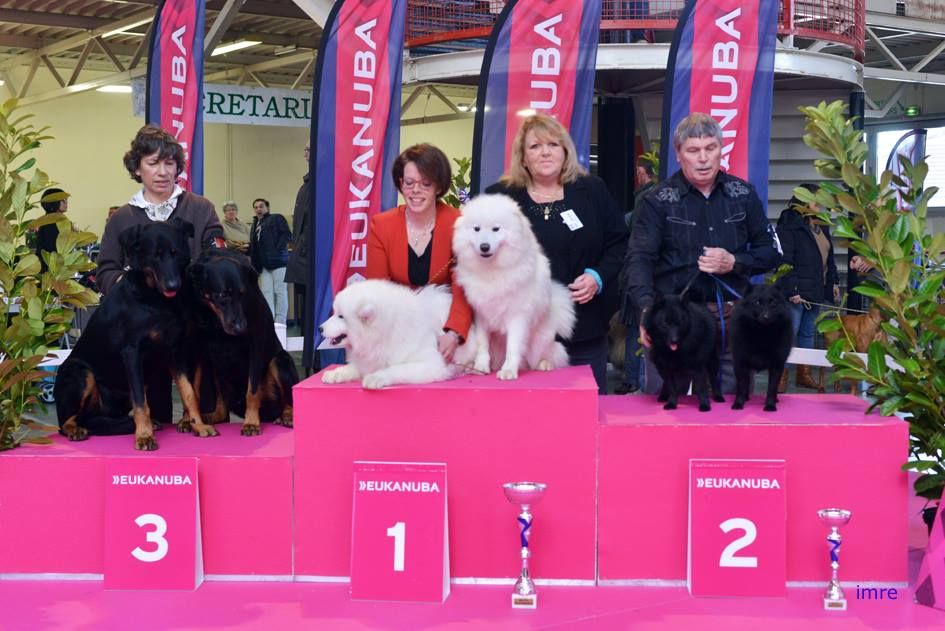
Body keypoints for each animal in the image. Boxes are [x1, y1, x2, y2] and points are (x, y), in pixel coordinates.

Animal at [55, 220, 218, 452]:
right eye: (155, 255)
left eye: (176, 253)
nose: (173, 285)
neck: (157, 300)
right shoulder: (131, 352)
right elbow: (141, 403)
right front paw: (144, 436)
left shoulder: (176, 351)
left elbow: (189, 392)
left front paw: (199, 425)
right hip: (80, 371)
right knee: (67, 421)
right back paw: (76, 430)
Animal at [185, 249, 298, 436]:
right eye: (223, 294)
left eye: (243, 293)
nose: (240, 328)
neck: (214, 320)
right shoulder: (197, 349)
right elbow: (192, 388)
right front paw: (189, 420)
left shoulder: (256, 344)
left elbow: (252, 390)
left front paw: (251, 423)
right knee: (223, 408)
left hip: (280, 360)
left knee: (289, 400)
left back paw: (286, 416)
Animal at [318, 282, 480, 390]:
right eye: (335, 313)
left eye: (341, 316)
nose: (320, 328)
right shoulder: (369, 360)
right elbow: (352, 368)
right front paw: (334, 374)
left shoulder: (431, 364)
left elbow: (397, 369)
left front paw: (377, 377)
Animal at [452, 193, 576, 380]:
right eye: (477, 229)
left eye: (496, 229)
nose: (484, 246)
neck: (492, 271)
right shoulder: (481, 314)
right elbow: (482, 345)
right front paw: (481, 367)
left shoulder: (518, 316)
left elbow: (513, 347)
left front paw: (508, 371)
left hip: (539, 342)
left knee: (551, 354)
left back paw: (545, 364)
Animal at [732, 284, 788, 412]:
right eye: (757, 302)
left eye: (773, 302)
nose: (766, 317)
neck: (762, 333)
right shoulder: (740, 362)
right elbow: (741, 385)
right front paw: (738, 403)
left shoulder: (777, 364)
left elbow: (772, 387)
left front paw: (770, 405)